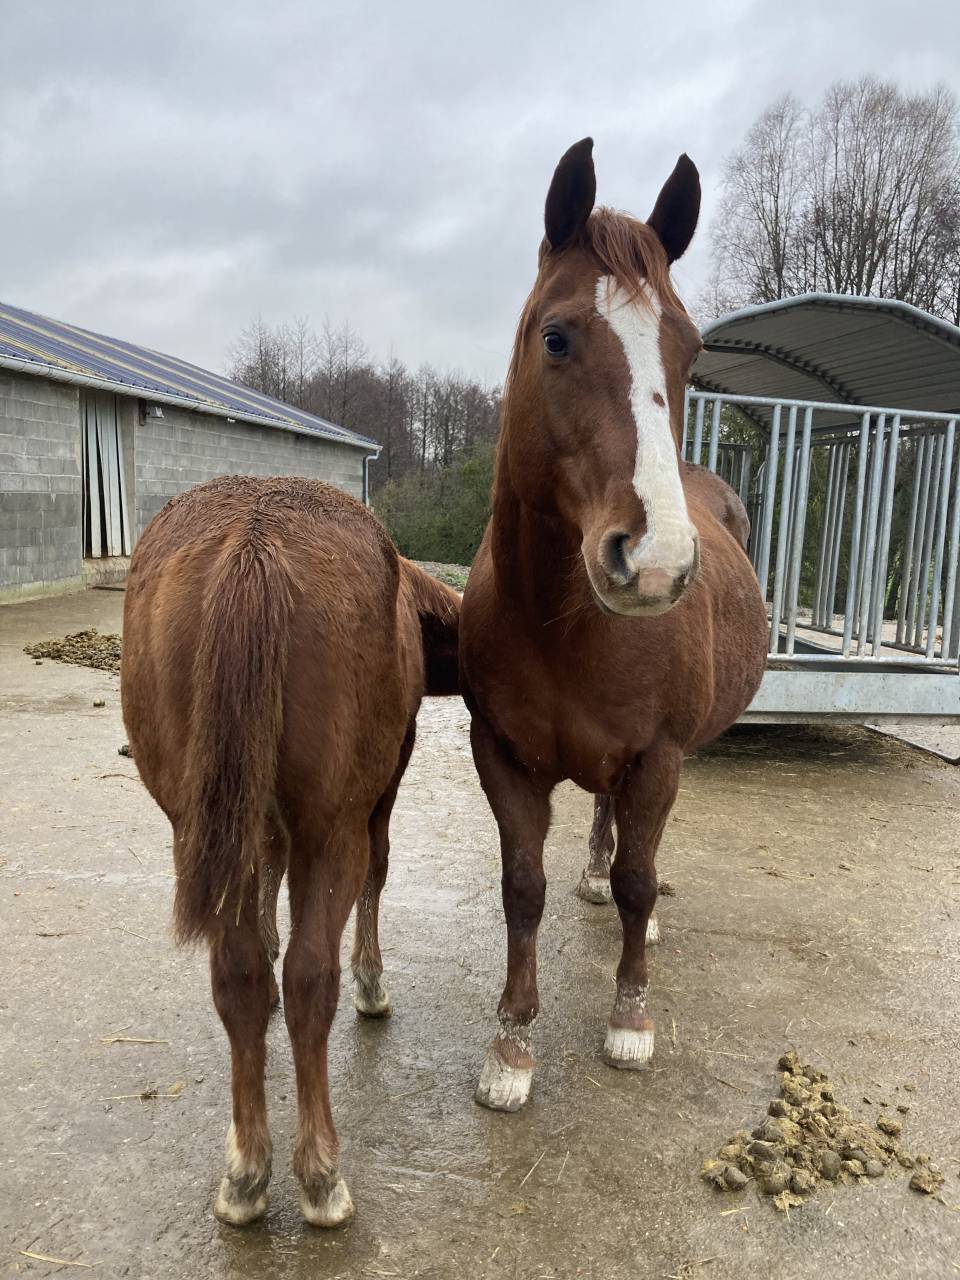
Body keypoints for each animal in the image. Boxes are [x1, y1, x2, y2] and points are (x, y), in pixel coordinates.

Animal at [121, 475, 459, 1225]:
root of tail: (254, 544)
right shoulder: (375, 799)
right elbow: (376, 877)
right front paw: (372, 979)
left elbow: (266, 872)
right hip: (335, 830)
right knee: (311, 977)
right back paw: (320, 1172)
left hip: (200, 816)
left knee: (237, 973)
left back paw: (246, 1169)